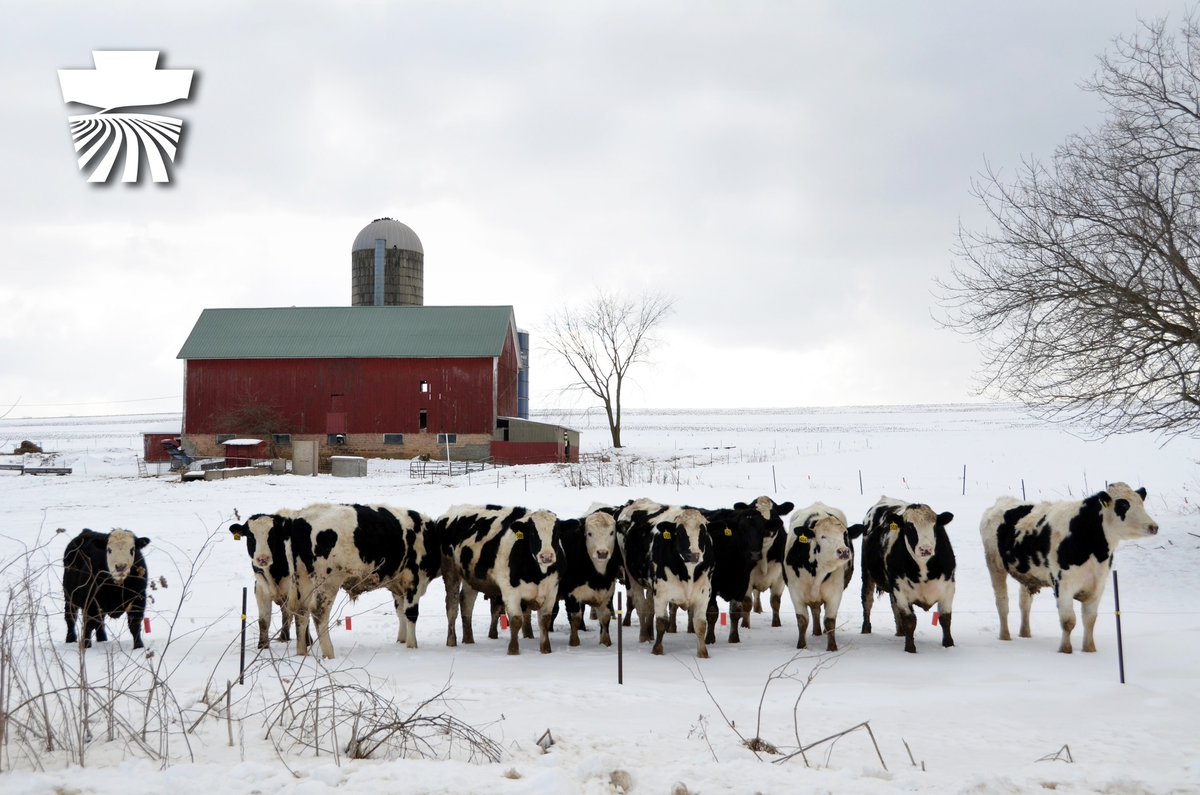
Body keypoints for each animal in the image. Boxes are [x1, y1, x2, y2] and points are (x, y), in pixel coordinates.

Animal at [439, 505, 574, 655]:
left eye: (556, 533)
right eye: (533, 533)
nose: (546, 556)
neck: (538, 574)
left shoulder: (551, 590)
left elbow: (545, 620)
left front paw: (546, 650)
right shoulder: (510, 590)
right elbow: (516, 620)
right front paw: (513, 650)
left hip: (470, 579)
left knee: (466, 603)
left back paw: (468, 640)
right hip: (450, 571)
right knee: (452, 607)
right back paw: (451, 641)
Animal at [617, 498, 714, 658]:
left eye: (704, 532)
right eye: (679, 532)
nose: (693, 555)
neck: (688, 573)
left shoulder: (704, 593)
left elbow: (700, 625)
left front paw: (703, 653)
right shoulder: (662, 592)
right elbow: (662, 622)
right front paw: (657, 650)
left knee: (649, 606)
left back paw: (649, 633)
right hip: (632, 577)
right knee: (641, 605)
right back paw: (644, 636)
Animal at [783, 502, 864, 652]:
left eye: (845, 534)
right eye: (822, 536)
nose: (844, 551)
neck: (818, 572)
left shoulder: (834, 593)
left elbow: (830, 620)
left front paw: (832, 647)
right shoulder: (795, 592)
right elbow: (802, 620)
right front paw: (801, 646)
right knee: (815, 611)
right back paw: (816, 632)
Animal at [860, 497, 956, 653]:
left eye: (935, 526)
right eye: (909, 527)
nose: (925, 549)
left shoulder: (948, 588)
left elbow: (945, 619)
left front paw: (949, 645)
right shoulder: (901, 590)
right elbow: (910, 620)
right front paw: (910, 649)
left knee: (893, 607)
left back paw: (900, 632)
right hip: (867, 574)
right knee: (867, 601)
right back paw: (866, 629)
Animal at [979, 482, 1158, 654]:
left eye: (1141, 502)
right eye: (1122, 504)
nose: (1153, 527)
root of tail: (1002, 501)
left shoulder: (1098, 585)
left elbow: (1090, 620)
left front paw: (1089, 649)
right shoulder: (1063, 584)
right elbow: (1068, 621)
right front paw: (1065, 650)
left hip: (1026, 573)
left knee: (1025, 603)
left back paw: (1025, 633)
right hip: (995, 565)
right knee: (1002, 603)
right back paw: (1005, 636)